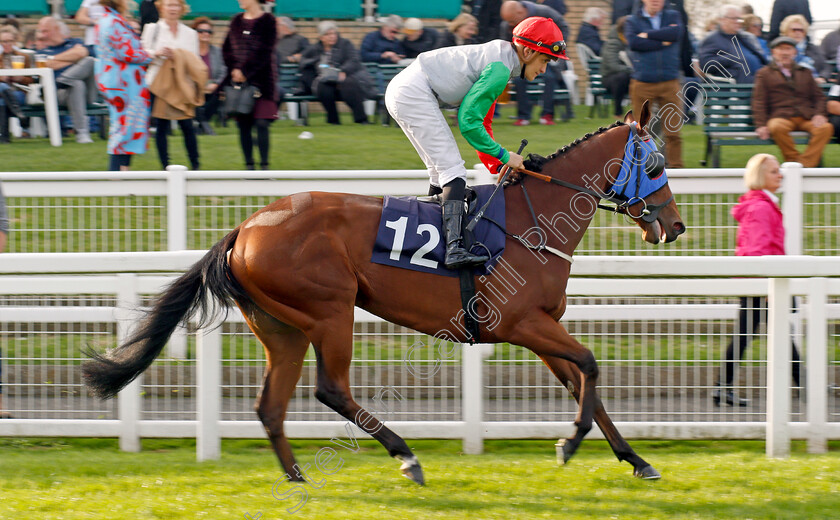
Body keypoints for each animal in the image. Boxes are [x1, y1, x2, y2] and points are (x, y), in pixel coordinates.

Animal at [83, 103, 684, 486]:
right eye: (655, 163)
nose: (674, 226)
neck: (530, 220)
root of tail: (244, 229)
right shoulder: (520, 324)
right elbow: (590, 365)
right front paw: (570, 443)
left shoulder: (540, 329)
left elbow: (585, 382)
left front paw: (635, 459)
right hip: (329, 311)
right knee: (331, 389)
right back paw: (406, 456)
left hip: (281, 327)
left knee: (270, 405)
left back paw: (297, 479)